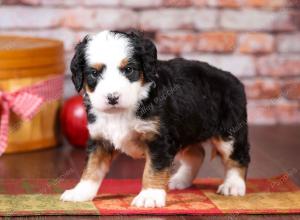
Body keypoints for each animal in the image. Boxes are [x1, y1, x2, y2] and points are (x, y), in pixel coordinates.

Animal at [59, 30, 250, 208]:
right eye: (94, 73)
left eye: (129, 70)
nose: (112, 98)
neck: (122, 111)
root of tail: (232, 79)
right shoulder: (100, 139)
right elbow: (91, 168)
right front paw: (80, 192)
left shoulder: (159, 139)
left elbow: (153, 169)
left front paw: (149, 196)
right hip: (185, 131)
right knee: (197, 154)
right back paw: (181, 180)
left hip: (230, 132)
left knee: (238, 157)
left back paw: (233, 185)